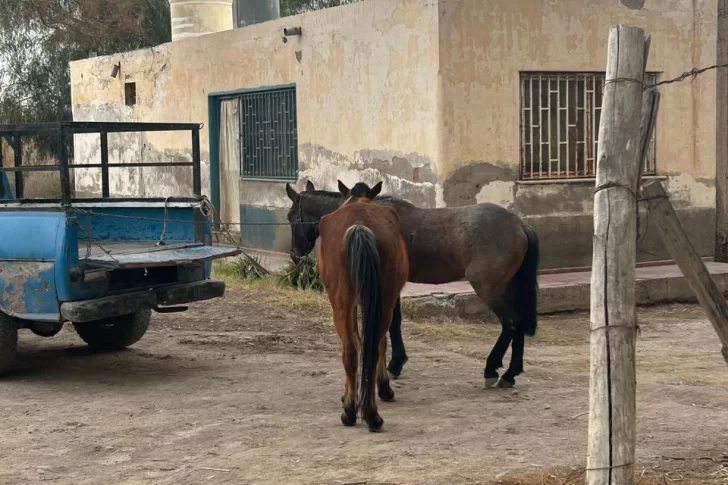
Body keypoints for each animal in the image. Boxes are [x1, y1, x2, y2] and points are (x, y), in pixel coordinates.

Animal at [284, 180, 540, 388]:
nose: (295, 254)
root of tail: (519, 225)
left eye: (290, 217)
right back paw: (510, 373)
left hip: (489, 287)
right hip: (511, 286)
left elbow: (393, 322)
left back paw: (491, 369)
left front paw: (394, 364)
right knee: (518, 323)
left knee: (510, 322)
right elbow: (395, 320)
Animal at [318, 180, 410, 430]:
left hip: (345, 303)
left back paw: (355, 410)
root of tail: (359, 226)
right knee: (366, 346)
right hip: (377, 303)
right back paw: (367, 411)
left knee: (355, 348)